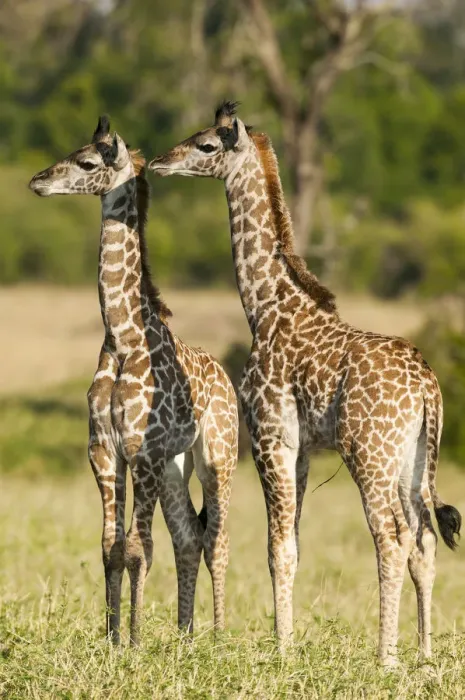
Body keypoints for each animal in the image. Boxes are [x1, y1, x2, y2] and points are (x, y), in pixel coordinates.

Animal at [29, 116, 238, 646]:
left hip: (217, 458)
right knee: (189, 536)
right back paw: (185, 637)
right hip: (175, 466)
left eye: (87, 162)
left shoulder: (141, 450)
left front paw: (137, 640)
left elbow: (139, 547)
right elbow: (111, 547)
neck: (121, 337)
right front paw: (112, 637)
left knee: (217, 538)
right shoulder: (104, 448)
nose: (37, 181)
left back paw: (217, 636)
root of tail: (228, 380)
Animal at [148, 101, 461, 666]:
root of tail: (428, 387)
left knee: (393, 536)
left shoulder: (271, 435)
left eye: (206, 145)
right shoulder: (301, 450)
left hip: (369, 453)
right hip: (414, 457)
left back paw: (386, 658)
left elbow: (277, 547)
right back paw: (424, 655)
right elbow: (292, 543)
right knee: (424, 537)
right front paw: (287, 642)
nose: (160, 162)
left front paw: (282, 650)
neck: (266, 308)